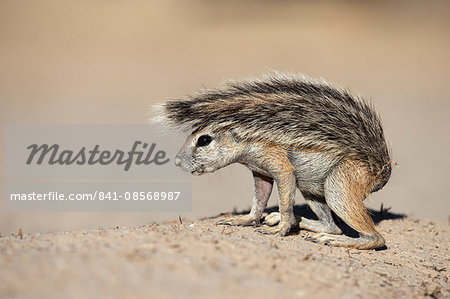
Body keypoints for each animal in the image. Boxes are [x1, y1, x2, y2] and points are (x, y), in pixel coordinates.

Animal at [154, 72, 394, 251]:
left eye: (204, 140)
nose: (177, 162)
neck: (248, 138)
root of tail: (379, 169)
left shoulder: (277, 161)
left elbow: (285, 196)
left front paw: (281, 228)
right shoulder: (260, 173)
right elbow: (258, 200)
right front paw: (246, 219)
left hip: (339, 186)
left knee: (374, 238)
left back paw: (332, 239)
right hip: (311, 189)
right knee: (331, 225)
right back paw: (291, 220)